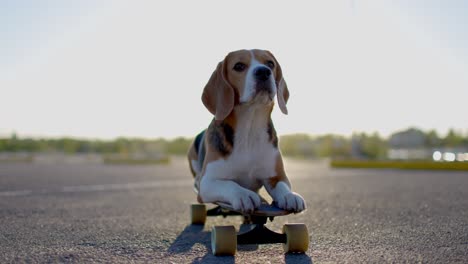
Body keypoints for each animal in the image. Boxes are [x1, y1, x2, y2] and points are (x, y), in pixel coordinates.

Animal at [188, 49, 306, 213]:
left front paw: (290, 195)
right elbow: (230, 184)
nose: (263, 72)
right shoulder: (207, 183)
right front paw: (243, 195)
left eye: (270, 63)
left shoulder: (277, 176)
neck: (249, 128)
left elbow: (283, 186)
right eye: (239, 66)